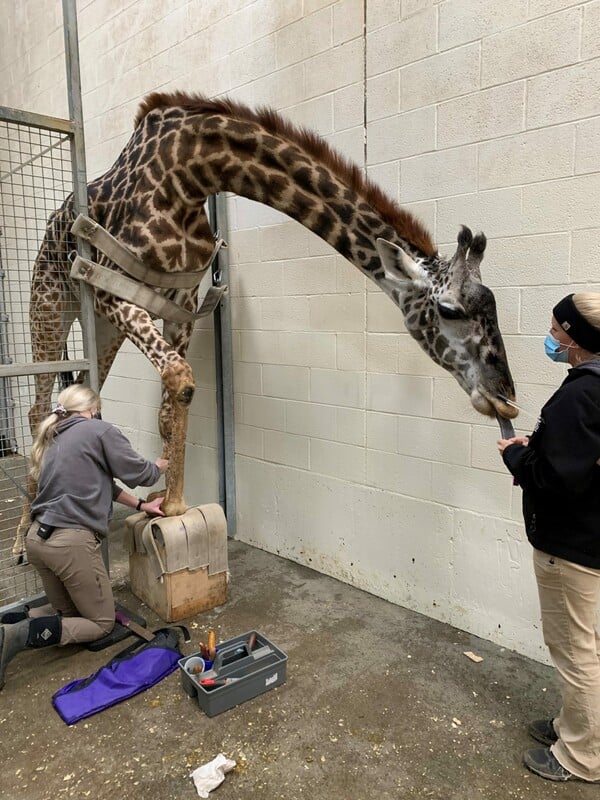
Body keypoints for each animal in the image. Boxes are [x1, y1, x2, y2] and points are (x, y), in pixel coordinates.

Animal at [16, 89, 516, 556]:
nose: (506, 399)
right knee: (40, 408)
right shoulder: (110, 290)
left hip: (103, 328)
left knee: (84, 392)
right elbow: (181, 379)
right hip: (50, 304)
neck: (189, 174)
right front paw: (171, 506)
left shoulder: (179, 305)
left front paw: (168, 504)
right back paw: (23, 539)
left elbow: (169, 404)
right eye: (450, 311)